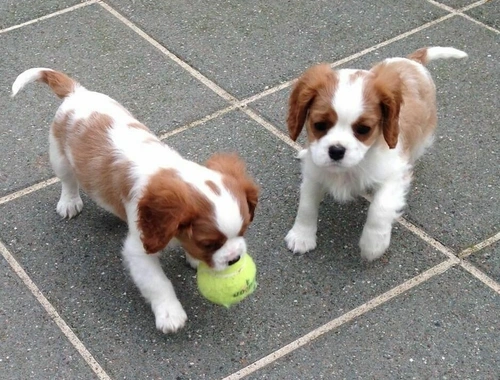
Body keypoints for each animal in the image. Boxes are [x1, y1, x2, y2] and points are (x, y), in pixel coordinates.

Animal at [12, 68, 260, 332]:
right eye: (209, 244)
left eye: (244, 231)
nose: (235, 259)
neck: (168, 172)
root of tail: (77, 92)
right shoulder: (139, 250)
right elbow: (158, 283)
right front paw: (170, 314)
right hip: (59, 156)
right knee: (68, 181)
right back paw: (69, 202)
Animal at [286, 46, 468, 262]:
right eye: (319, 125)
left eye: (363, 129)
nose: (336, 151)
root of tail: (413, 61)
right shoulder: (315, 173)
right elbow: (306, 204)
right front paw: (301, 236)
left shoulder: (395, 174)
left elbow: (380, 208)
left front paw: (373, 244)